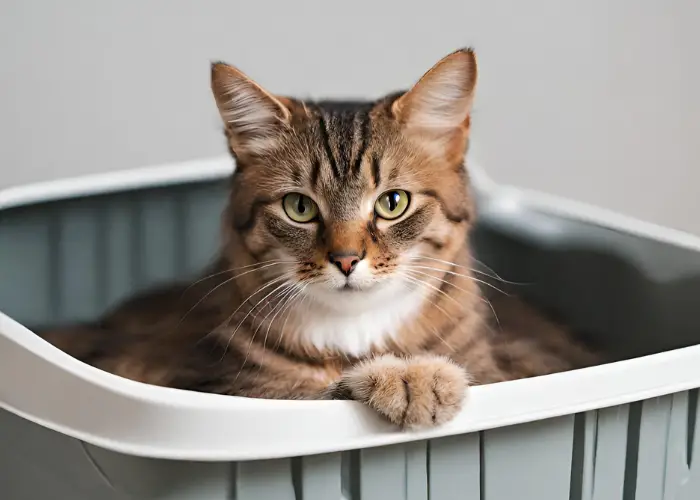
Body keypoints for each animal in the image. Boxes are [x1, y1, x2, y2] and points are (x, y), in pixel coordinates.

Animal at [42, 47, 596, 430]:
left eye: (393, 202)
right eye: (299, 207)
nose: (346, 259)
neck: (356, 335)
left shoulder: (523, 364)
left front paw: (417, 374)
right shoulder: (221, 386)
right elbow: (316, 392)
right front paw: (406, 377)